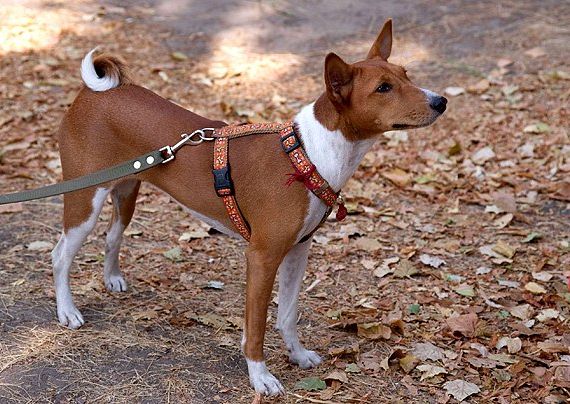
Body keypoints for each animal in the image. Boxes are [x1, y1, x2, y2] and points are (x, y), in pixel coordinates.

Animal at [51, 19, 446, 395]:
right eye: (383, 88)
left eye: (406, 75)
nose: (440, 101)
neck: (309, 154)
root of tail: (93, 94)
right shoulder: (262, 256)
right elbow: (255, 326)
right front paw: (261, 376)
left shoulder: (298, 250)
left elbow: (287, 314)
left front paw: (297, 355)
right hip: (85, 201)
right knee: (60, 254)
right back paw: (67, 310)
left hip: (125, 192)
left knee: (112, 236)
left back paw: (112, 278)